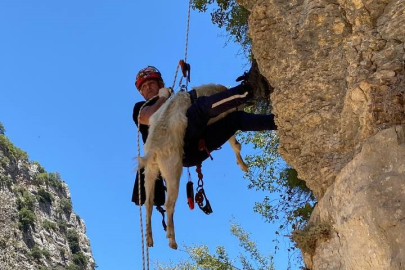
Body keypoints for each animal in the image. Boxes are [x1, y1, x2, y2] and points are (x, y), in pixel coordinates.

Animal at [138, 84, 246, 249]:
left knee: (148, 203)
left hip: (150, 172)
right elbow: (234, 142)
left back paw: (149, 238)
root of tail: (154, 149)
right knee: (169, 204)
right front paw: (242, 164)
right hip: (173, 170)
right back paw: (172, 239)